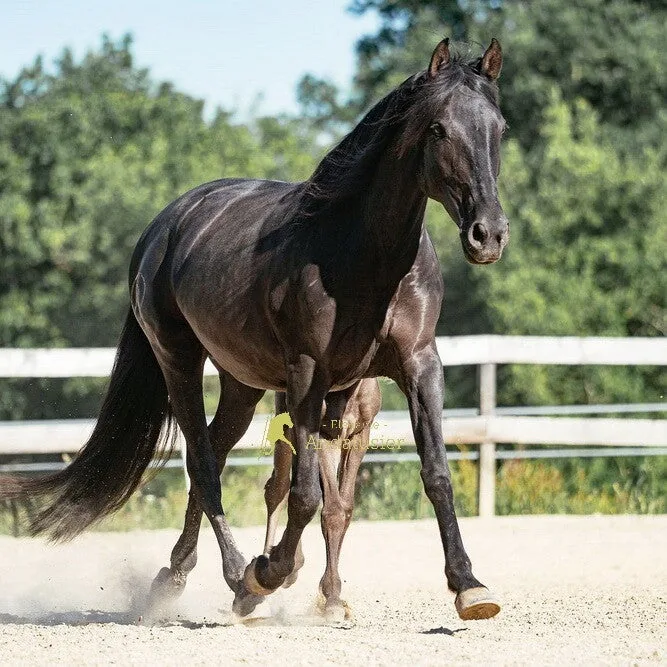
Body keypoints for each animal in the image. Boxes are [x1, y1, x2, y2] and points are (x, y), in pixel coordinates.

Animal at [2, 38, 508, 622]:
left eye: (499, 128)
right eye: (438, 129)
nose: (488, 234)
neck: (362, 257)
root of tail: (163, 226)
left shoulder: (418, 364)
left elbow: (434, 474)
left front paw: (469, 585)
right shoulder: (308, 375)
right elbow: (306, 494)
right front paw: (270, 571)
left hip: (241, 384)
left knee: (216, 454)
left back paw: (176, 574)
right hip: (179, 362)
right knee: (202, 461)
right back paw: (237, 577)